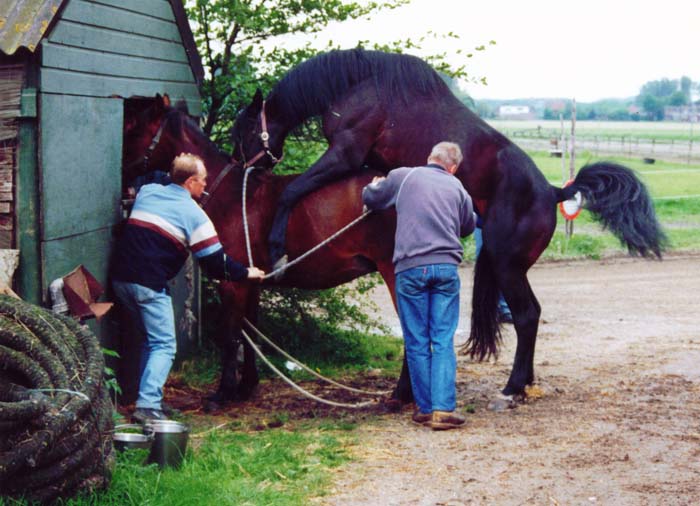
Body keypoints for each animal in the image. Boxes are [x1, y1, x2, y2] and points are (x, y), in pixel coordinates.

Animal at [121, 95, 410, 404]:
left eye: (133, 128)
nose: (121, 175)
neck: (229, 196)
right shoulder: (250, 279)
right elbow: (250, 331)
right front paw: (247, 385)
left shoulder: (232, 282)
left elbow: (230, 334)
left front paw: (224, 392)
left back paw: (402, 394)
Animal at [232, 48, 664, 396]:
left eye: (245, 128)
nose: (240, 168)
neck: (359, 86)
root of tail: (555, 191)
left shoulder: (344, 154)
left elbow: (292, 191)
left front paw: (278, 249)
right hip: (506, 264)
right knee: (530, 316)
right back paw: (524, 382)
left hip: (507, 264)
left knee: (527, 316)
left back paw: (513, 387)